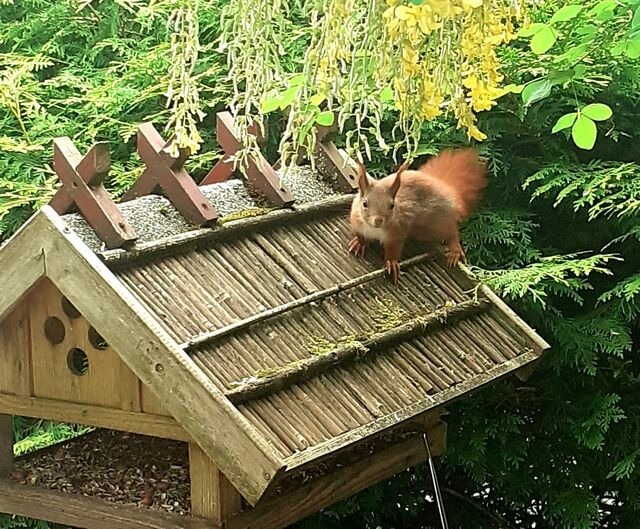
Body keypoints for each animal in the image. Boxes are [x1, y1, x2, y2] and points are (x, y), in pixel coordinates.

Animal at [350, 146, 484, 282]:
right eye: (365, 203)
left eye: (392, 205)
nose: (378, 220)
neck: (373, 229)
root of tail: (448, 189)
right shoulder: (356, 222)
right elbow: (360, 236)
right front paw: (359, 243)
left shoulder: (397, 231)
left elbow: (393, 250)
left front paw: (391, 263)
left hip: (433, 225)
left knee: (452, 231)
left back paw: (455, 249)